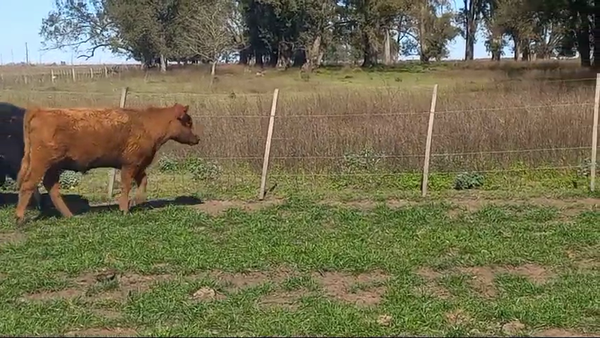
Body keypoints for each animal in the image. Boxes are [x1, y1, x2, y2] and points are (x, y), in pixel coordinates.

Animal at [14, 103, 200, 224]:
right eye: (188, 122)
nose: (197, 138)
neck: (147, 124)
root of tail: (40, 111)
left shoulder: (139, 165)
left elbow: (143, 182)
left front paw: (136, 202)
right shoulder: (130, 165)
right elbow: (126, 186)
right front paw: (124, 208)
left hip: (54, 166)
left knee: (51, 187)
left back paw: (69, 215)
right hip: (41, 163)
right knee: (29, 184)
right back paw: (20, 218)